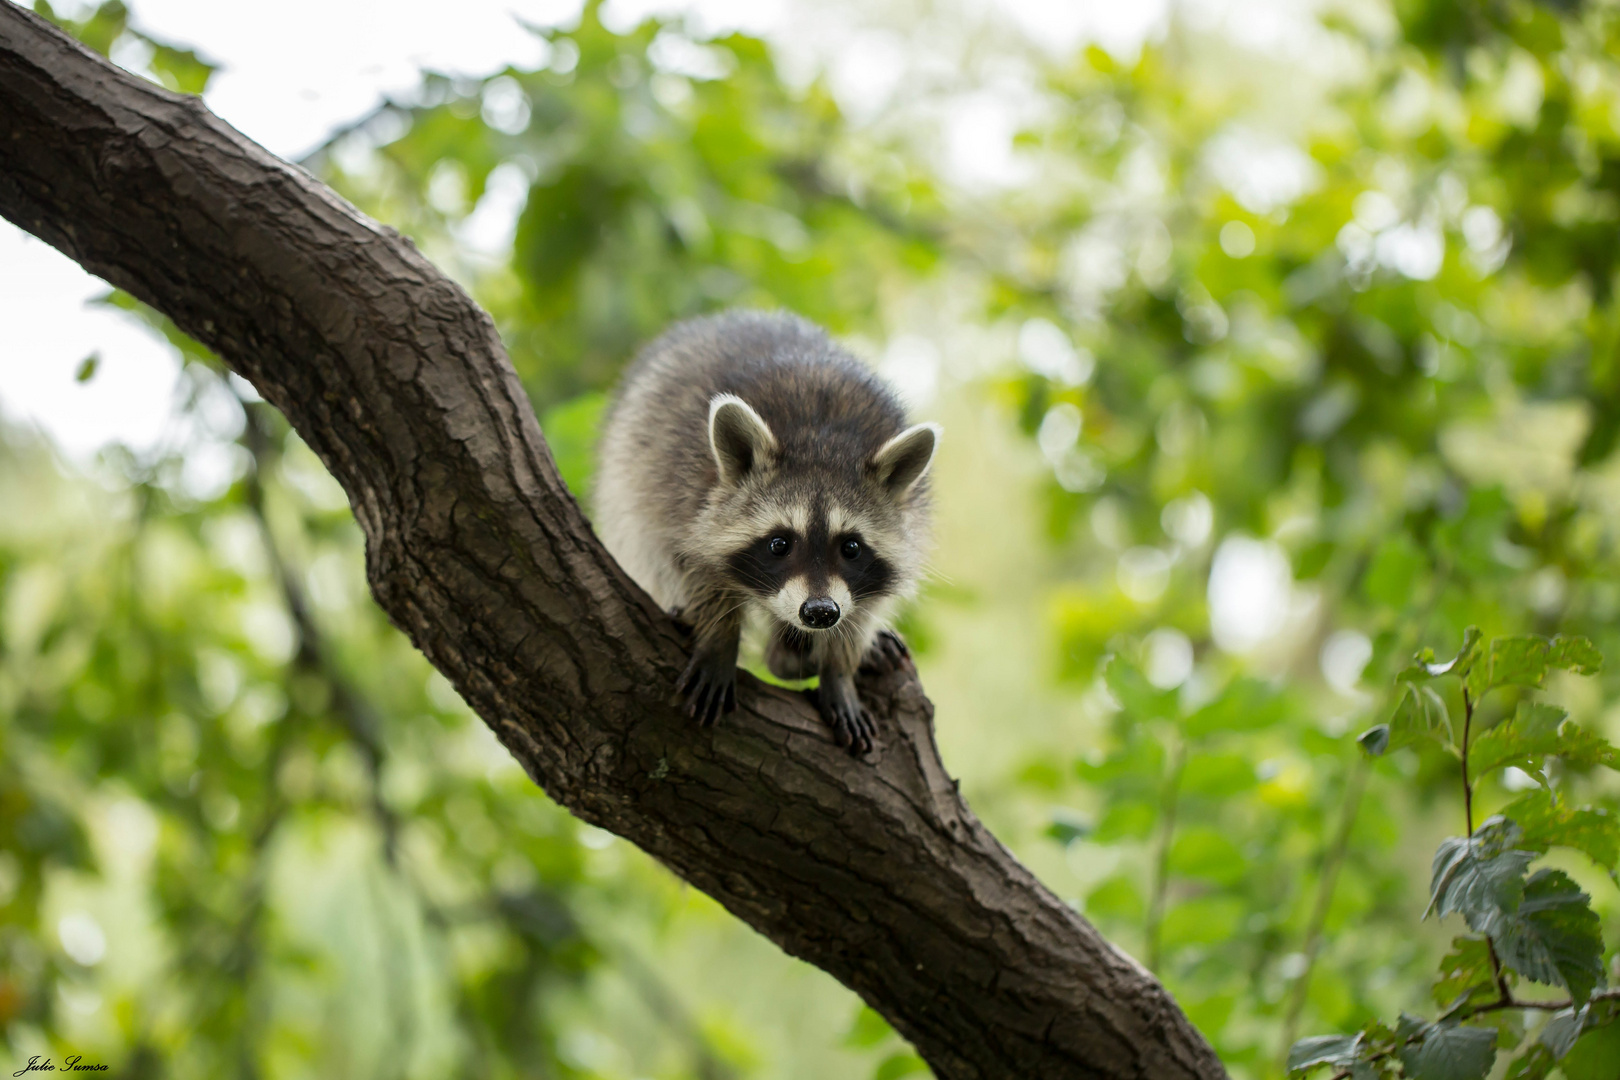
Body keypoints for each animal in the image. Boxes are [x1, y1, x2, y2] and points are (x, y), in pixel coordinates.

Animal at [596, 307, 939, 757]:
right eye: (779, 544)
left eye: (851, 547)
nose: (820, 613)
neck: (822, 439)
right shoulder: (684, 489)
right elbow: (699, 566)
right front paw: (719, 637)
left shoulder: (906, 525)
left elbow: (864, 610)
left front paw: (839, 670)